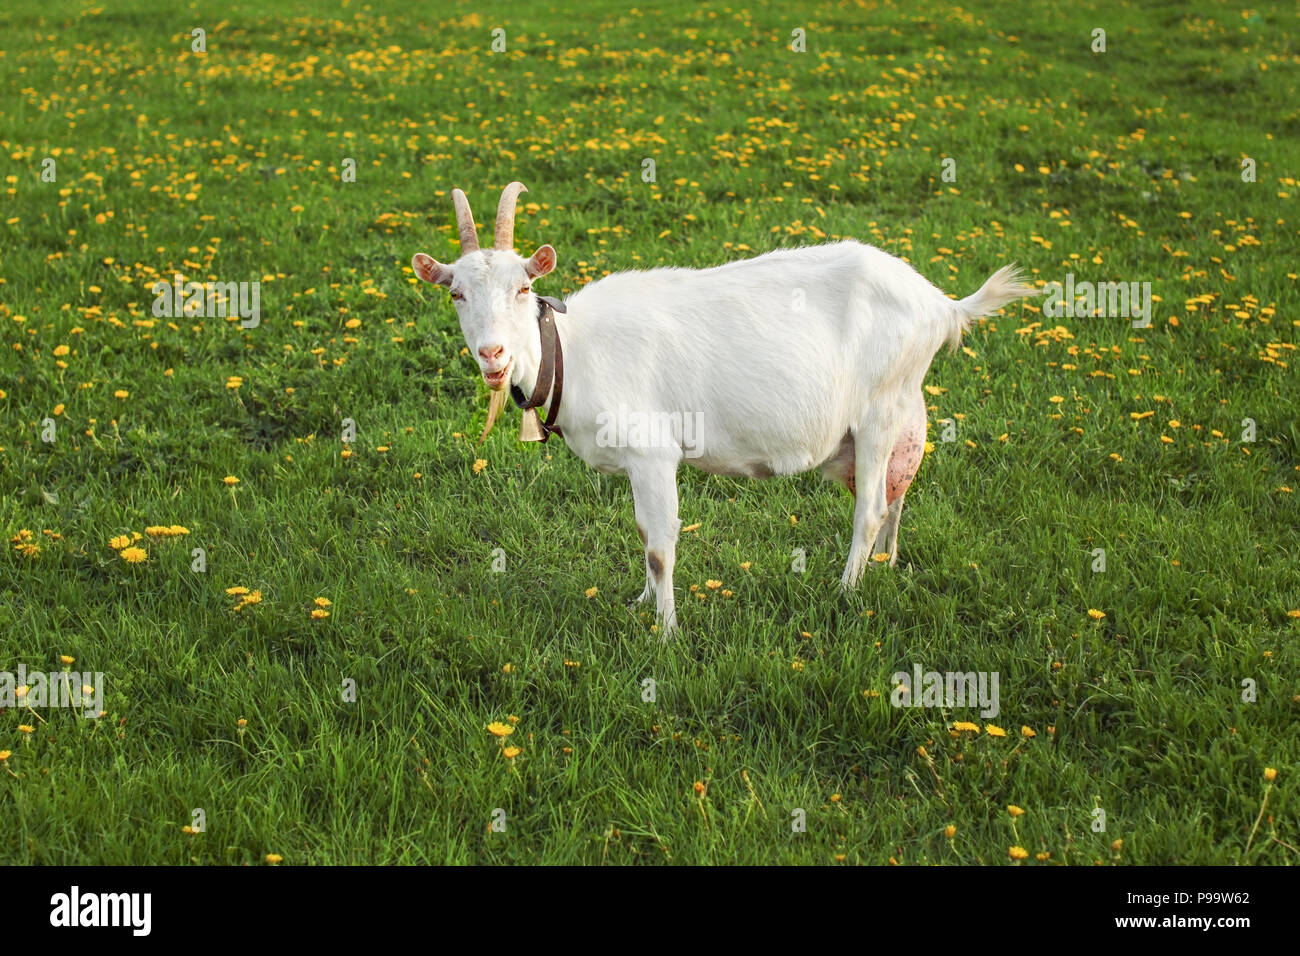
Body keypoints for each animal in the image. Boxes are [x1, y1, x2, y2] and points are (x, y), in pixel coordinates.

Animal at [412, 182, 1036, 634]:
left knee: (871, 508)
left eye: (522, 288)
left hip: (879, 411)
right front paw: (639, 604)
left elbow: (659, 545)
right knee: (897, 492)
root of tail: (941, 305)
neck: (574, 346)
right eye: (456, 293)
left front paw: (666, 633)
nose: (493, 354)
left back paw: (845, 590)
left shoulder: (653, 453)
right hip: (899, 413)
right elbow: (643, 533)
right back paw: (886, 567)